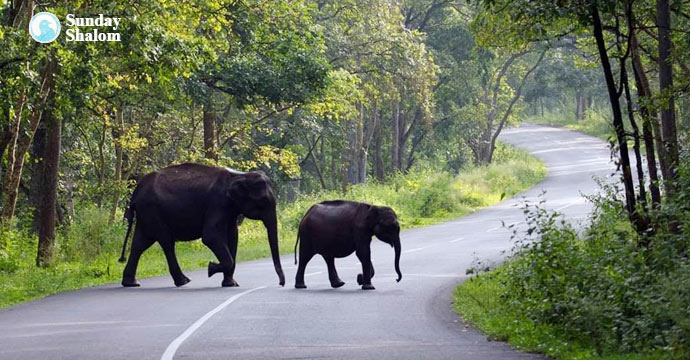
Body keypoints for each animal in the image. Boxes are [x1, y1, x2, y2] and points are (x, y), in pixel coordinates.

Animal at [117, 163, 284, 286]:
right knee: (166, 242)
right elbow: (211, 237)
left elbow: (233, 237)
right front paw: (210, 268)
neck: (239, 175)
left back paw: (131, 283)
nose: (281, 284)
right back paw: (183, 281)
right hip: (153, 211)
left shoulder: (230, 209)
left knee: (140, 243)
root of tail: (135, 193)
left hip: (146, 214)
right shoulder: (217, 203)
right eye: (263, 200)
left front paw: (231, 284)